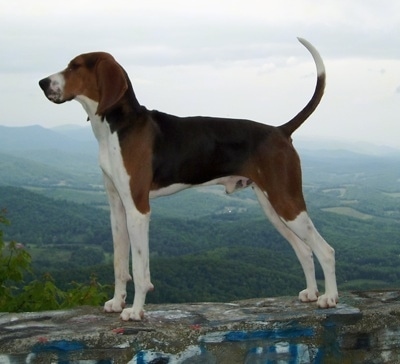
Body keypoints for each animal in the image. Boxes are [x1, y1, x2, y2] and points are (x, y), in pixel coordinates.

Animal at [39, 38, 338, 320]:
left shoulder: (138, 209)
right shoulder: (117, 209)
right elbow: (119, 264)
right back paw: (312, 293)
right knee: (305, 251)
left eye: (75, 66)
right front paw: (116, 302)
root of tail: (280, 130)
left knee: (325, 250)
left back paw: (329, 298)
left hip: (287, 203)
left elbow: (140, 269)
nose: (42, 83)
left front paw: (135, 311)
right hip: (275, 209)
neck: (117, 126)